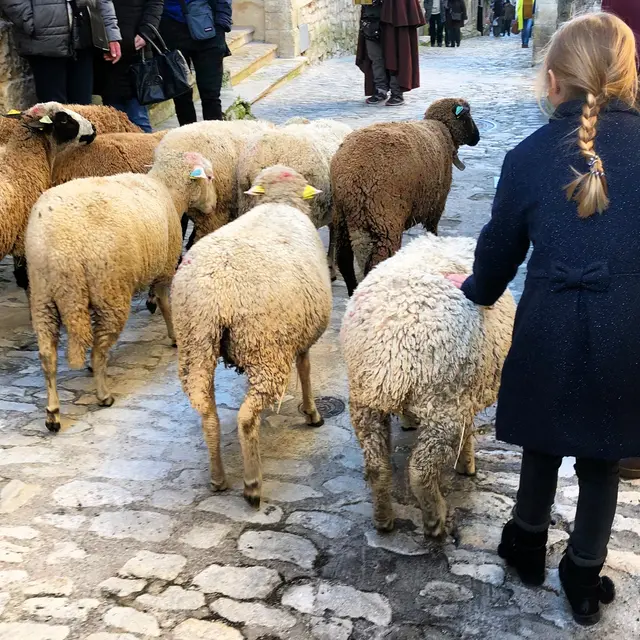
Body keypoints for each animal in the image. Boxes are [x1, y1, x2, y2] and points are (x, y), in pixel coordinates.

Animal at [26, 150, 216, 433]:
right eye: (210, 177)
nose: (213, 205)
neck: (169, 191)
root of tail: (57, 248)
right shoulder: (164, 267)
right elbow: (165, 303)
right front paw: (173, 335)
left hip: (42, 298)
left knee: (47, 356)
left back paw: (52, 414)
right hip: (108, 292)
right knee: (98, 350)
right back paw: (103, 395)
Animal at [171, 165, 332, 507]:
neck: (278, 204)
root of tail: (217, 295)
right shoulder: (301, 337)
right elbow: (306, 370)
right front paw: (312, 413)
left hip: (196, 342)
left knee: (207, 411)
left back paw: (218, 478)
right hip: (265, 347)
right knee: (246, 417)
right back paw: (252, 485)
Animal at [331, 98, 481, 296]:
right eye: (468, 116)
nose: (477, 138)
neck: (442, 129)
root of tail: (351, 180)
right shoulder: (437, 203)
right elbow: (432, 229)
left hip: (342, 220)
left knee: (344, 261)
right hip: (384, 221)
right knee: (376, 263)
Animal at [340, 234, 515, 538]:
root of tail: (392, 346)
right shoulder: (464, 395)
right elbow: (467, 433)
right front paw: (467, 464)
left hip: (365, 400)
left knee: (376, 466)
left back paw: (383, 517)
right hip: (442, 405)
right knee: (420, 471)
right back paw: (434, 519)